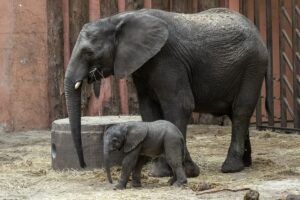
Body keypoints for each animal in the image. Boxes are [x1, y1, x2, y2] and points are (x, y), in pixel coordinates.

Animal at [64, 7, 268, 177]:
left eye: (89, 53)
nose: (83, 165)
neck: (119, 18)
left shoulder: (168, 59)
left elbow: (180, 106)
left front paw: (182, 171)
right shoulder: (142, 66)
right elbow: (149, 111)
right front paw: (163, 172)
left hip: (253, 67)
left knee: (241, 111)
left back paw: (231, 168)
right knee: (235, 113)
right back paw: (245, 164)